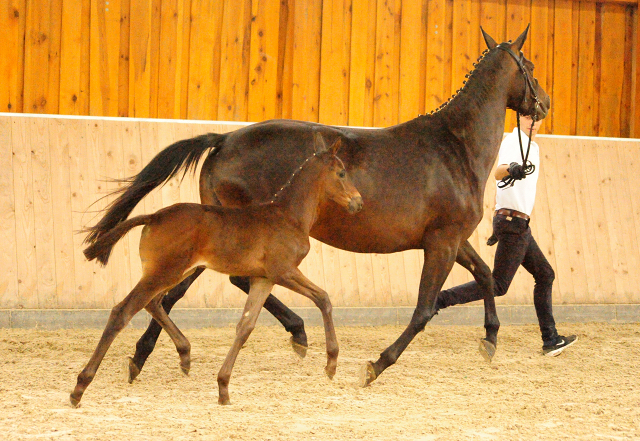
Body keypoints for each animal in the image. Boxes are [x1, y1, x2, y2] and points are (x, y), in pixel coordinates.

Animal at [72, 135, 362, 406]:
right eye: (341, 173)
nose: (358, 203)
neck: (288, 216)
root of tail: (154, 216)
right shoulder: (284, 271)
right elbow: (323, 298)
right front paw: (331, 363)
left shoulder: (263, 279)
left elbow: (245, 327)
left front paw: (223, 387)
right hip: (165, 273)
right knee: (122, 311)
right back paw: (80, 386)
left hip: (174, 272)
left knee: (153, 303)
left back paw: (184, 354)